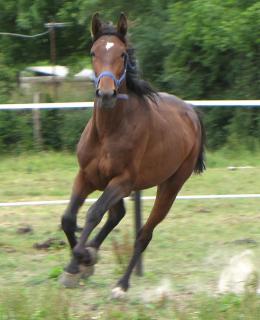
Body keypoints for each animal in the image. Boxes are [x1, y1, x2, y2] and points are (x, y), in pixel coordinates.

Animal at [59, 11, 205, 298]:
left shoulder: (122, 182)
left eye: (123, 54)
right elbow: (69, 218)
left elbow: (93, 213)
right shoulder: (86, 177)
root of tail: (191, 112)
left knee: (143, 234)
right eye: (93, 52)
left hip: (170, 186)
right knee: (117, 215)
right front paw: (74, 267)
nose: (106, 93)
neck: (108, 131)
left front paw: (83, 258)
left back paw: (121, 285)